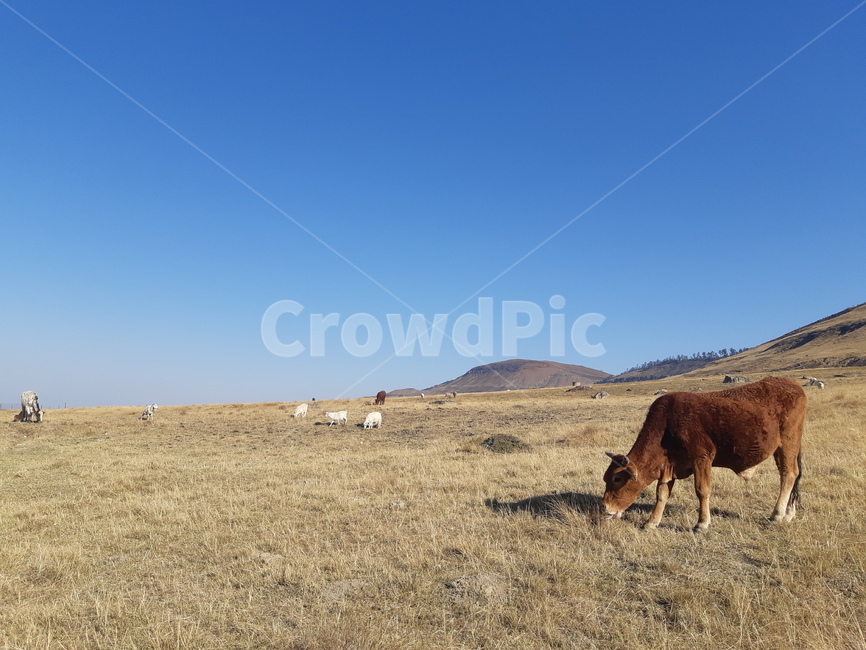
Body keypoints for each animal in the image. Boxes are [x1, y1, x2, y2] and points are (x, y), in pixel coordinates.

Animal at [602, 376, 806, 532]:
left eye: (617, 479)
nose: (606, 507)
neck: (668, 424)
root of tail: (794, 385)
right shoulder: (669, 465)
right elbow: (662, 494)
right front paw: (651, 522)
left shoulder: (702, 457)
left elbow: (702, 490)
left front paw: (702, 523)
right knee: (793, 476)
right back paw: (789, 513)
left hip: (788, 443)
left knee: (789, 474)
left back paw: (778, 514)